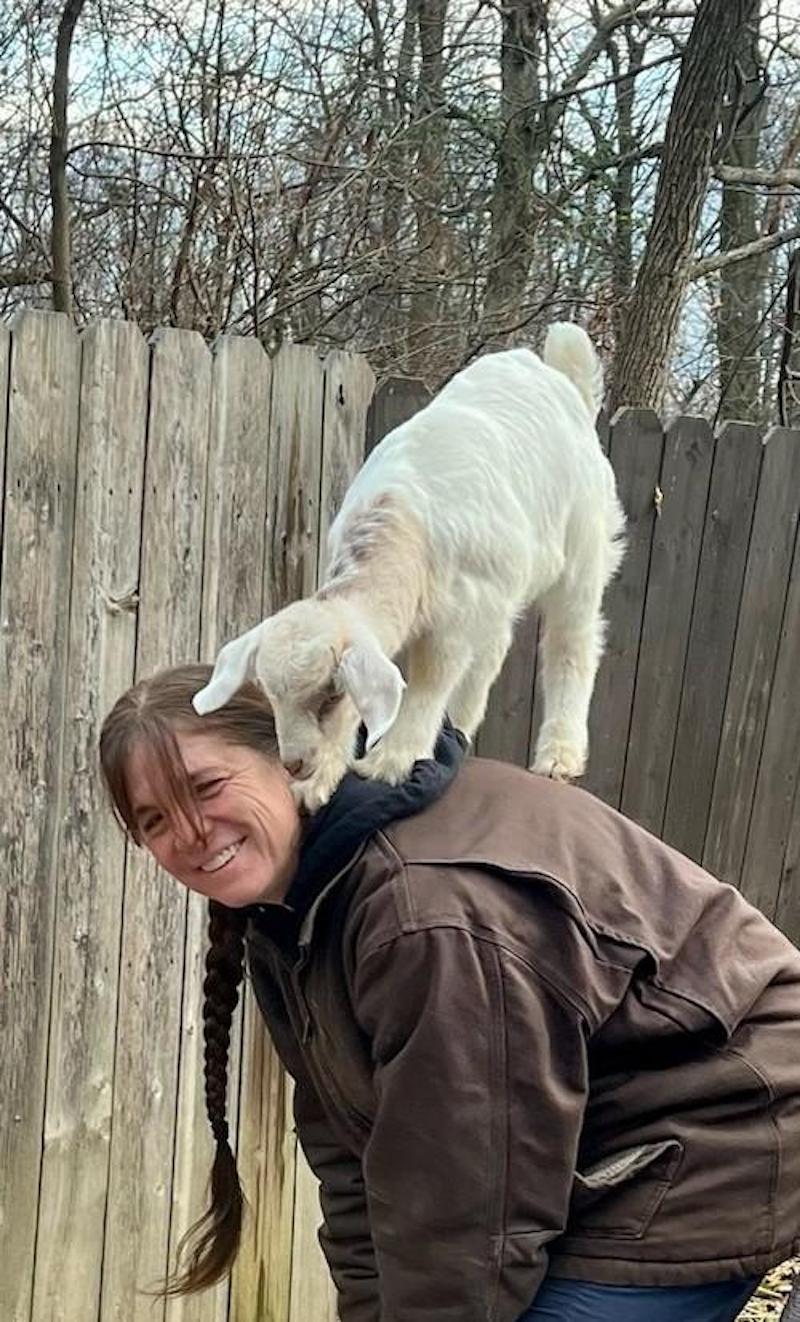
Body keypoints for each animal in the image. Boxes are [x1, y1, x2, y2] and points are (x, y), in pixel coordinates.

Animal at [193, 323, 625, 811]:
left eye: (330, 695)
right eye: (269, 695)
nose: (296, 765)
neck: (402, 524)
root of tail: (563, 379)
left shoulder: (455, 618)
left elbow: (430, 682)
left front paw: (390, 761)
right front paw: (320, 780)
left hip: (582, 548)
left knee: (572, 643)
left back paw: (558, 754)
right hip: (503, 589)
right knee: (492, 653)